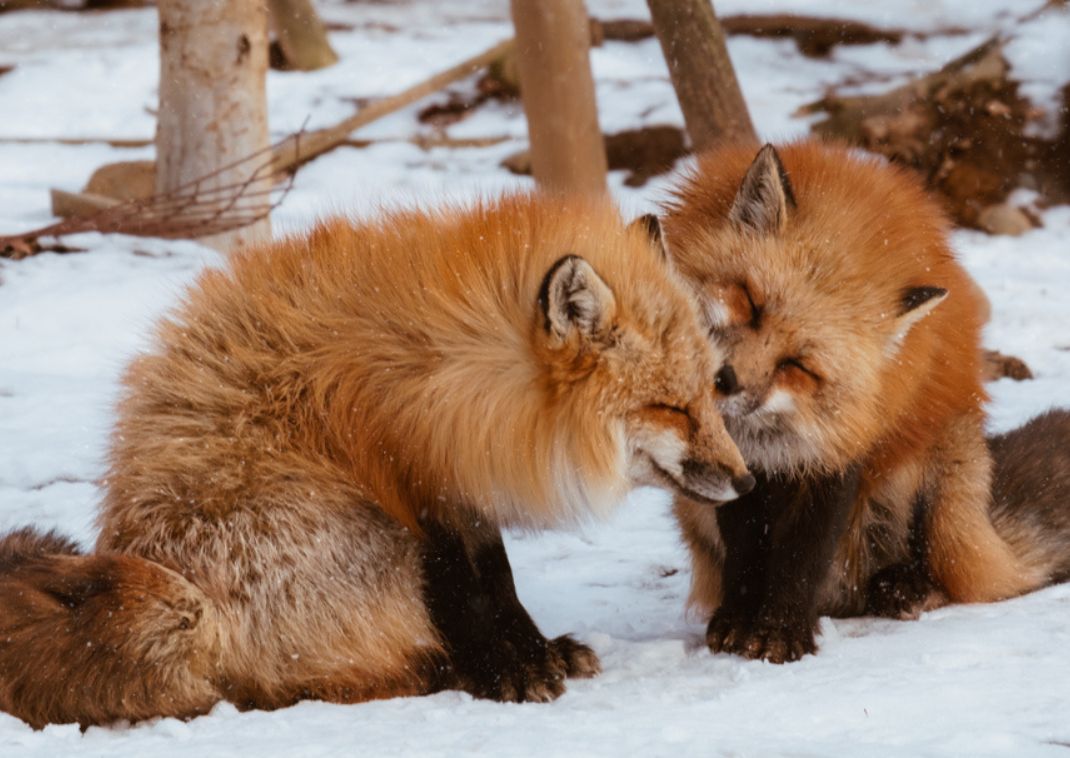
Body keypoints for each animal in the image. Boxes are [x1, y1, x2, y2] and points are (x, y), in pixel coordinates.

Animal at [2, 192, 753, 723]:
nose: (746, 482)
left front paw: (534, 652)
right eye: (671, 409)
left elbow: (498, 583)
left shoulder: (460, 483)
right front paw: (512, 668)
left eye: (711, 390)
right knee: (313, 682)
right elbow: (474, 591)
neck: (463, 373)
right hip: (361, 534)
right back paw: (451, 671)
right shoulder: (414, 484)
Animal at [659, 142, 1070, 663]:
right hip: (692, 498)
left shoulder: (842, 445)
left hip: (943, 477)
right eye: (750, 302)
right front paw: (738, 620)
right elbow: (746, 554)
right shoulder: (734, 463)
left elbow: (802, 554)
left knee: (948, 578)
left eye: (798, 365)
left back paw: (905, 588)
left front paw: (781, 631)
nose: (724, 381)